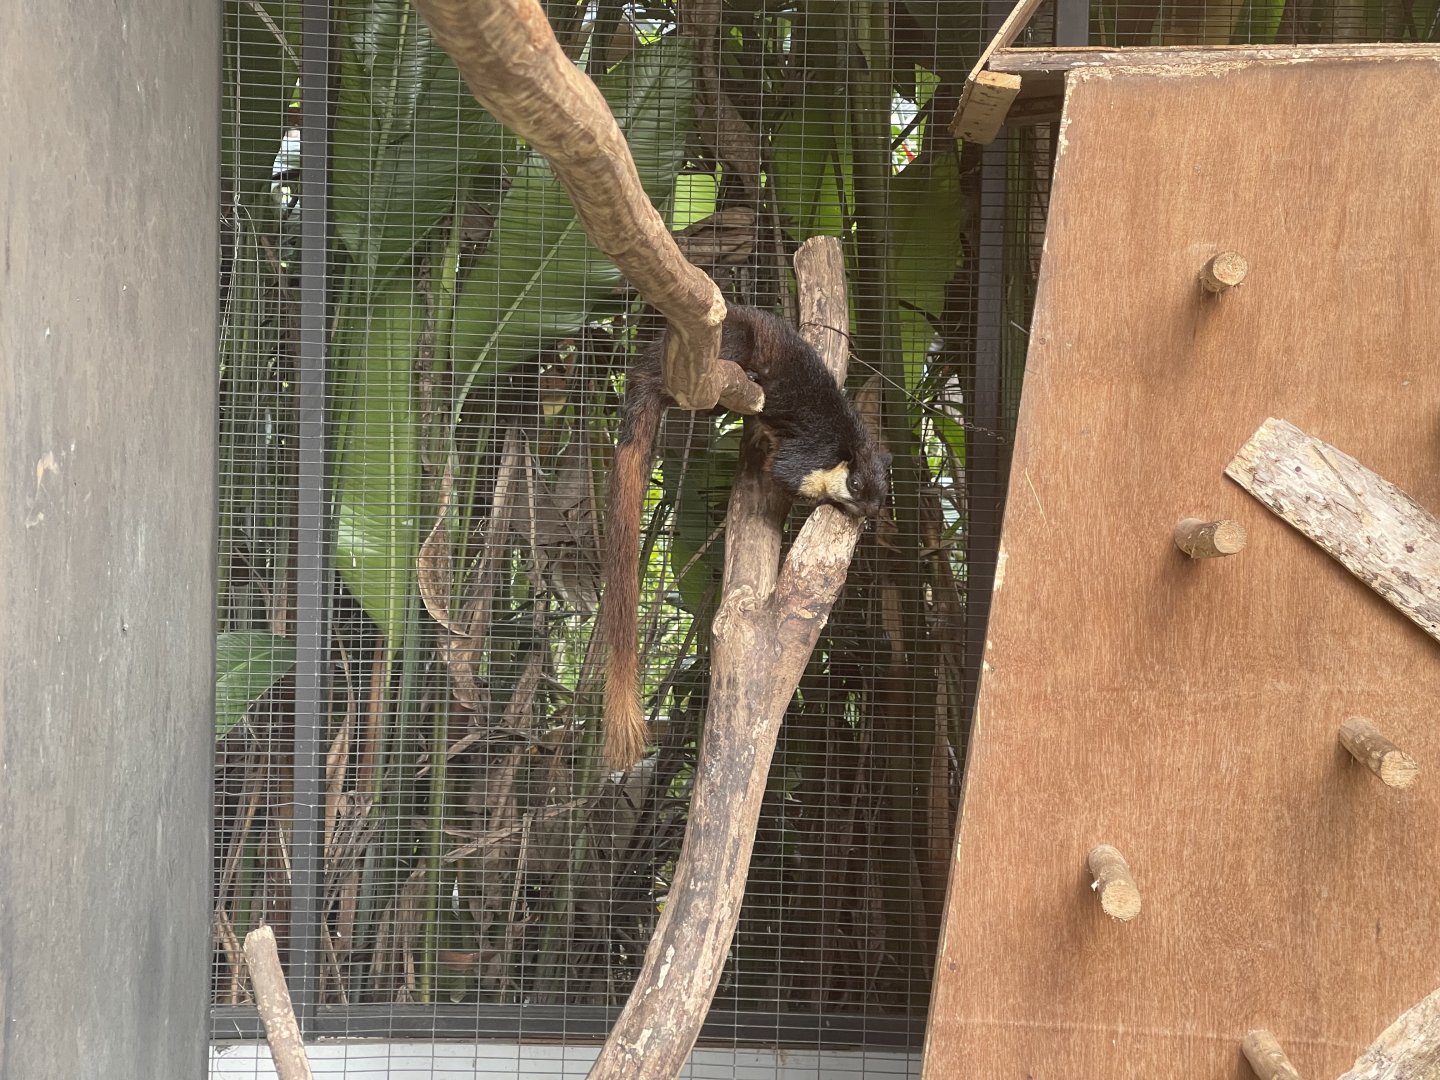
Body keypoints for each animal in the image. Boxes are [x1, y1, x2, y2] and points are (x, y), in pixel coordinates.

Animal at [597, 305, 890, 770]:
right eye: (857, 484)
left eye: (877, 497)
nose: (863, 507)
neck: (849, 447)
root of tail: (645, 366)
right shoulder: (811, 452)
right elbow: (785, 474)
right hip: (725, 339)